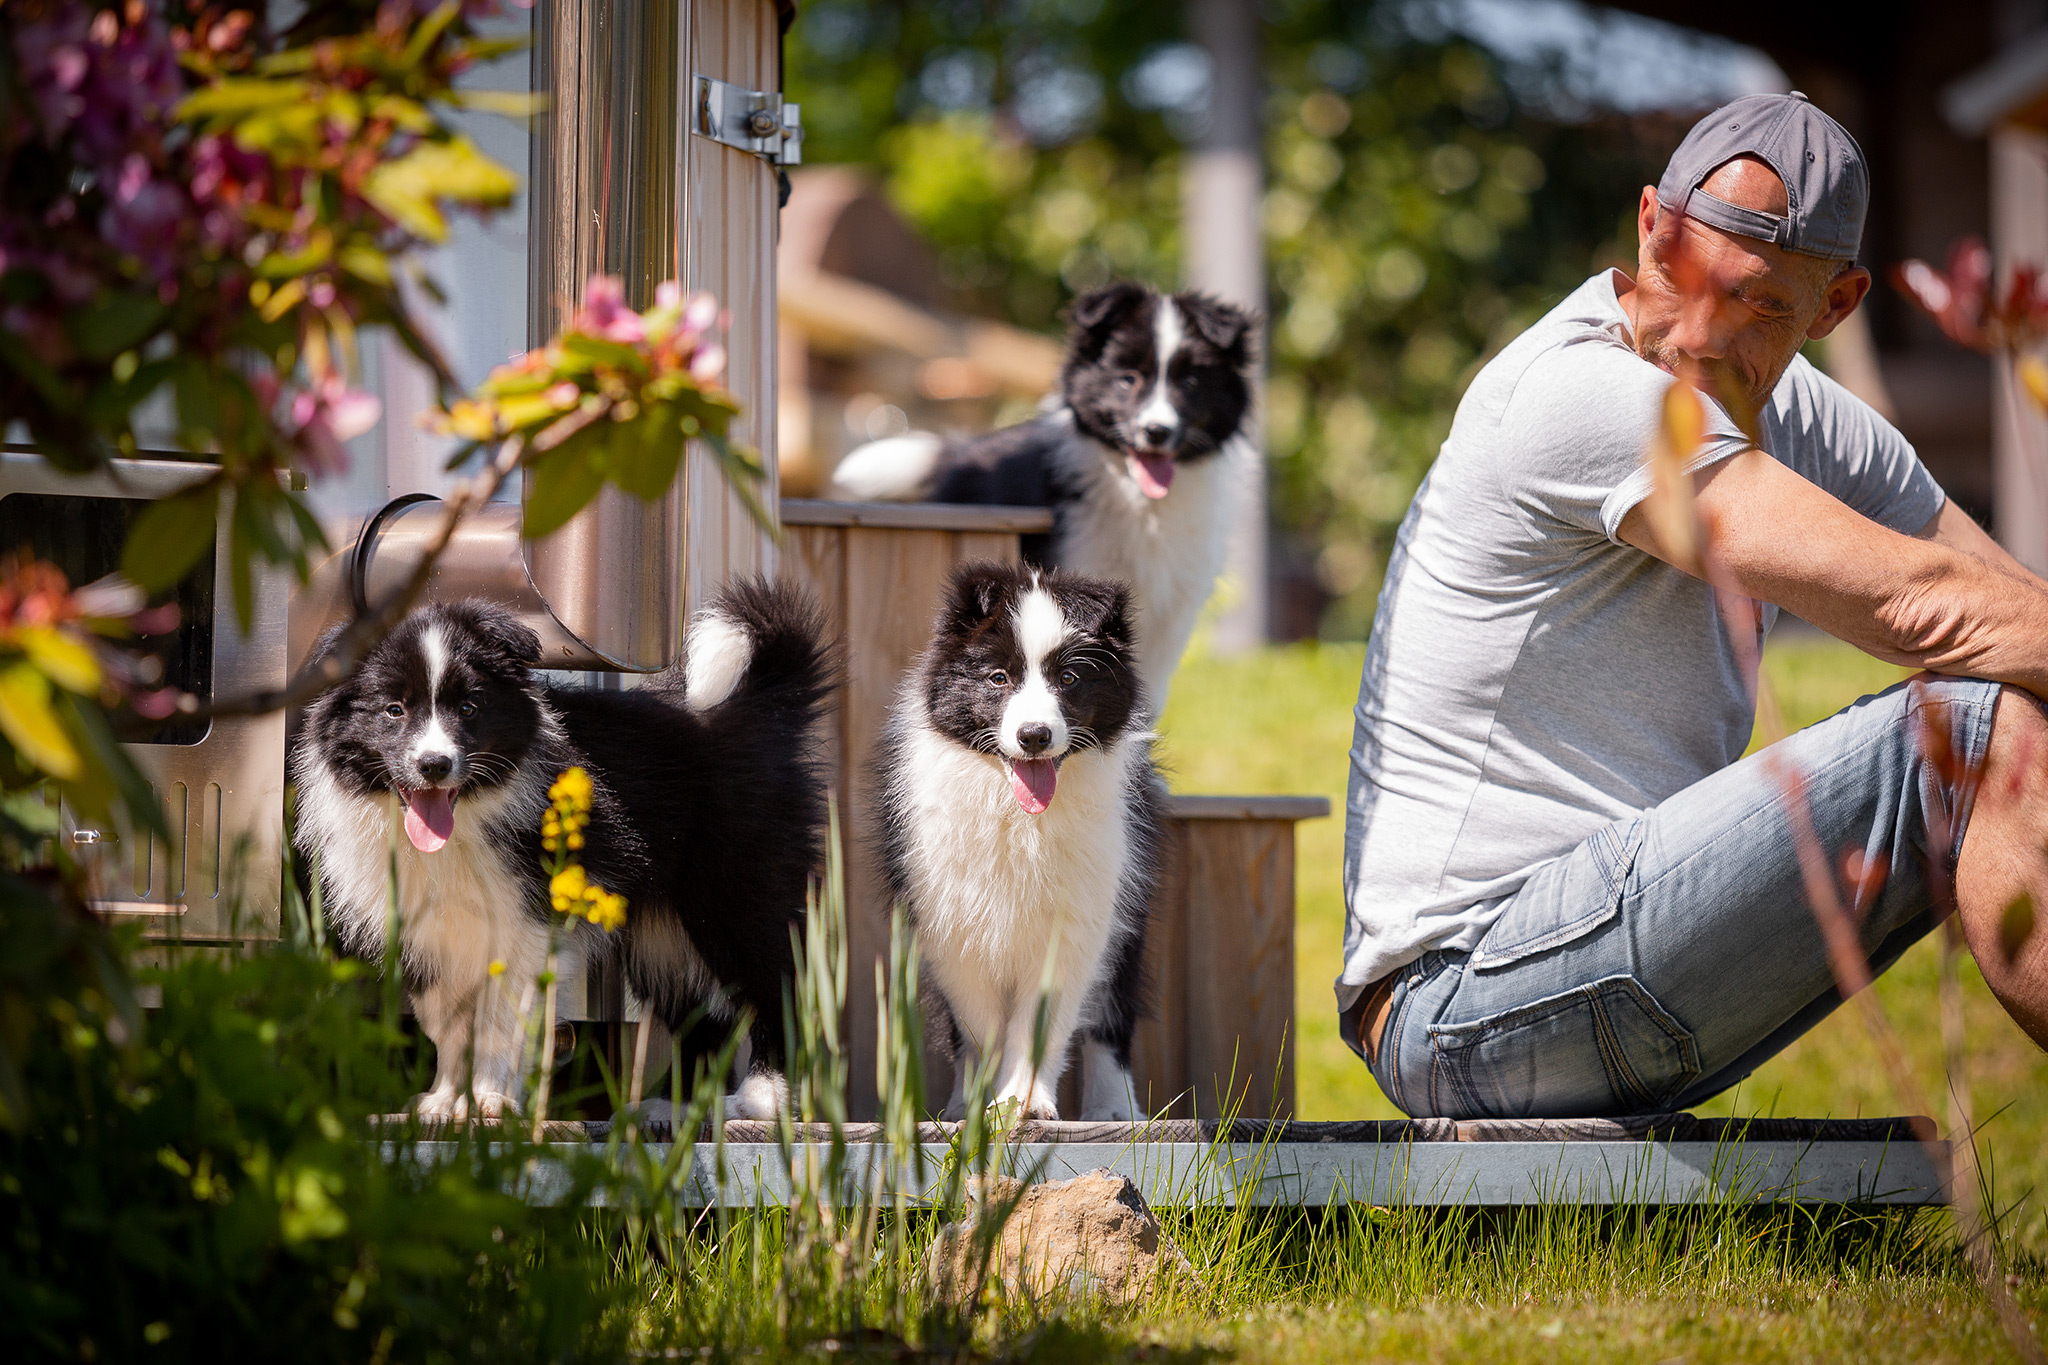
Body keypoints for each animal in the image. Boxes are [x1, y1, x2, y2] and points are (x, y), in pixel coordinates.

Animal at [290, 581, 831, 1129]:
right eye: (394, 710)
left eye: (469, 708)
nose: (434, 765)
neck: (469, 814)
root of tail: (760, 709)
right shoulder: (428, 933)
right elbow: (446, 1022)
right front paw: (444, 1102)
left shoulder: (524, 924)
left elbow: (499, 1019)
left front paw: (490, 1101)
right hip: (663, 933)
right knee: (698, 1007)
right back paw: (672, 1105)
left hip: (737, 889)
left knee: (776, 979)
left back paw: (762, 1097)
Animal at [823, 276, 1253, 703]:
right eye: (1127, 379)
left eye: (1190, 383)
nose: (1157, 431)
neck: (1142, 501)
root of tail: (965, 449)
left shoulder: (1172, 615)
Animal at [876, 556, 1171, 1121]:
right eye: (998, 677)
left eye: (1069, 678)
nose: (1034, 736)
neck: (1019, 816)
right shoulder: (951, 926)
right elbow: (980, 1025)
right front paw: (983, 1106)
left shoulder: (1078, 919)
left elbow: (1043, 1020)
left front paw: (1025, 1101)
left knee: (1111, 1017)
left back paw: (1115, 1111)